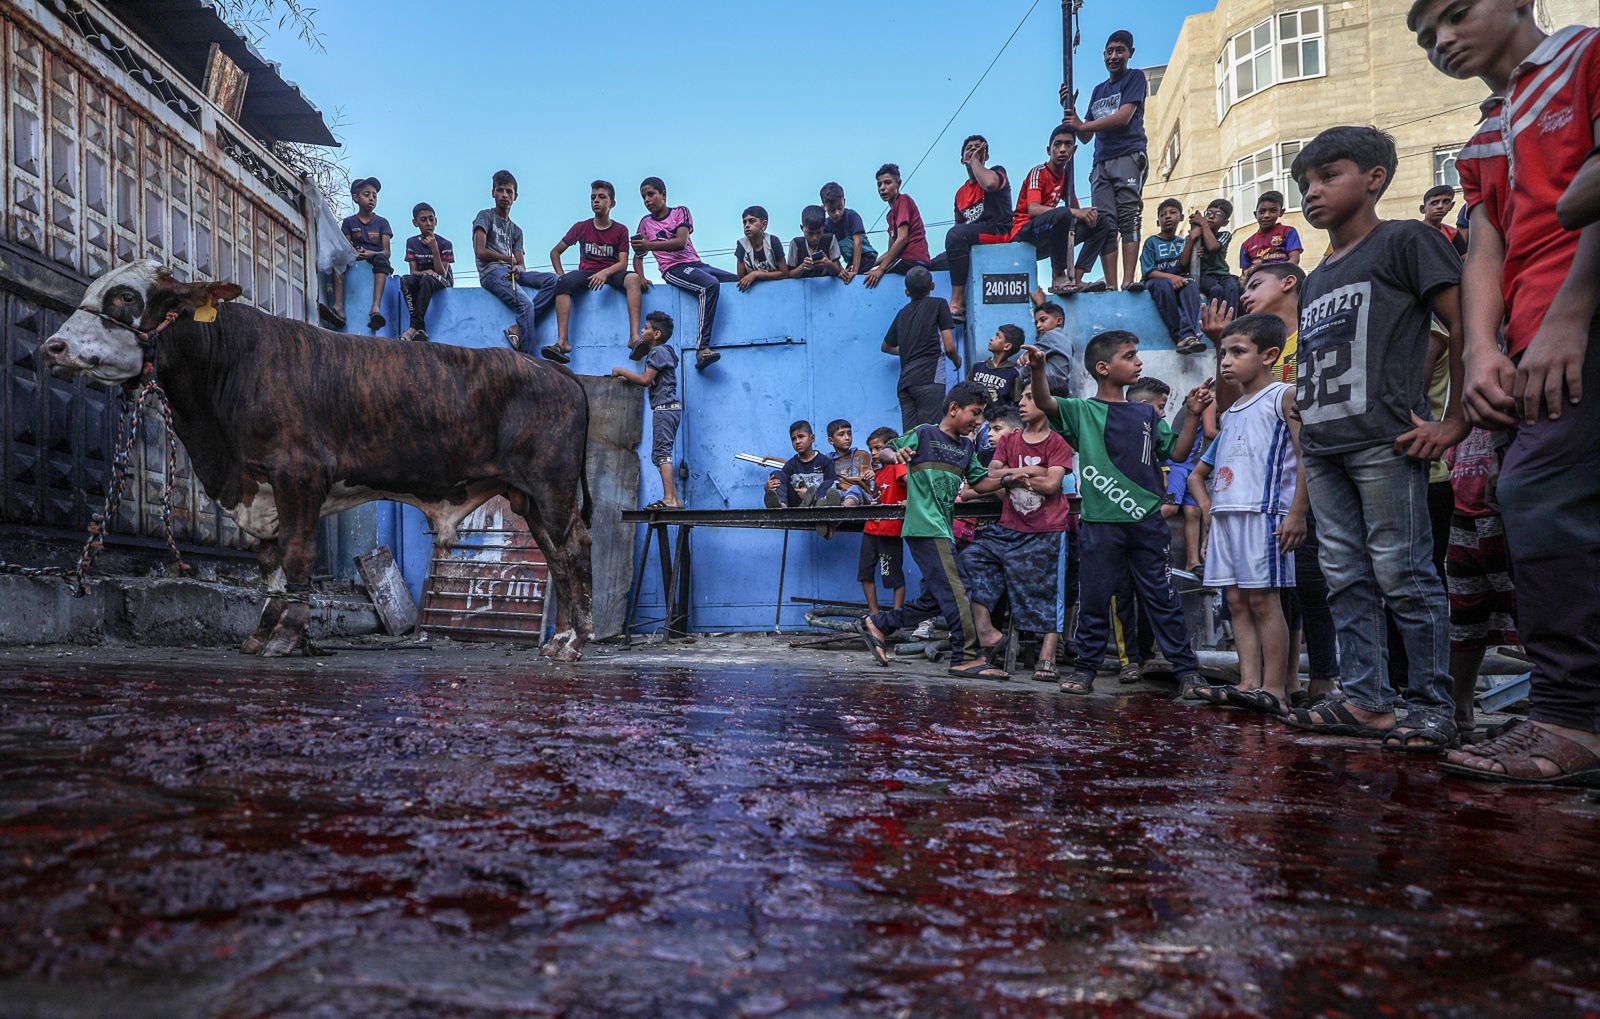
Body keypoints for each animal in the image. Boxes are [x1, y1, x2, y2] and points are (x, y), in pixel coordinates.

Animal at [43, 260, 598, 659]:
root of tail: (555, 371)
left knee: (572, 550)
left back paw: (574, 642)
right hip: (528, 496)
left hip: (550, 486)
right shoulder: (260, 490)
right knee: (554, 554)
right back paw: (558, 640)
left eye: (125, 297)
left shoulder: (299, 474)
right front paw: (262, 634)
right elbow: (270, 565)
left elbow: (297, 554)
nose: (54, 345)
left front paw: (288, 637)